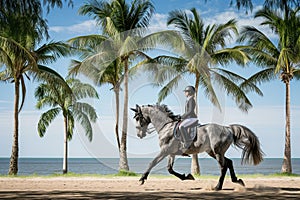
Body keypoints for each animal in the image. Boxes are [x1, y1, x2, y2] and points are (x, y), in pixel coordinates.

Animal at [130, 104, 264, 190]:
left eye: (138, 118)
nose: (139, 135)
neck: (166, 126)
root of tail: (228, 128)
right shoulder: (171, 153)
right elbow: (170, 169)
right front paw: (187, 177)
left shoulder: (164, 151)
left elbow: (152, 162)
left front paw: (142, 178)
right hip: (213, 152)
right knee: (229, 162)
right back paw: (237, 180)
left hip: (217, 151)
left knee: (223, 166)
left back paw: (218, 187)